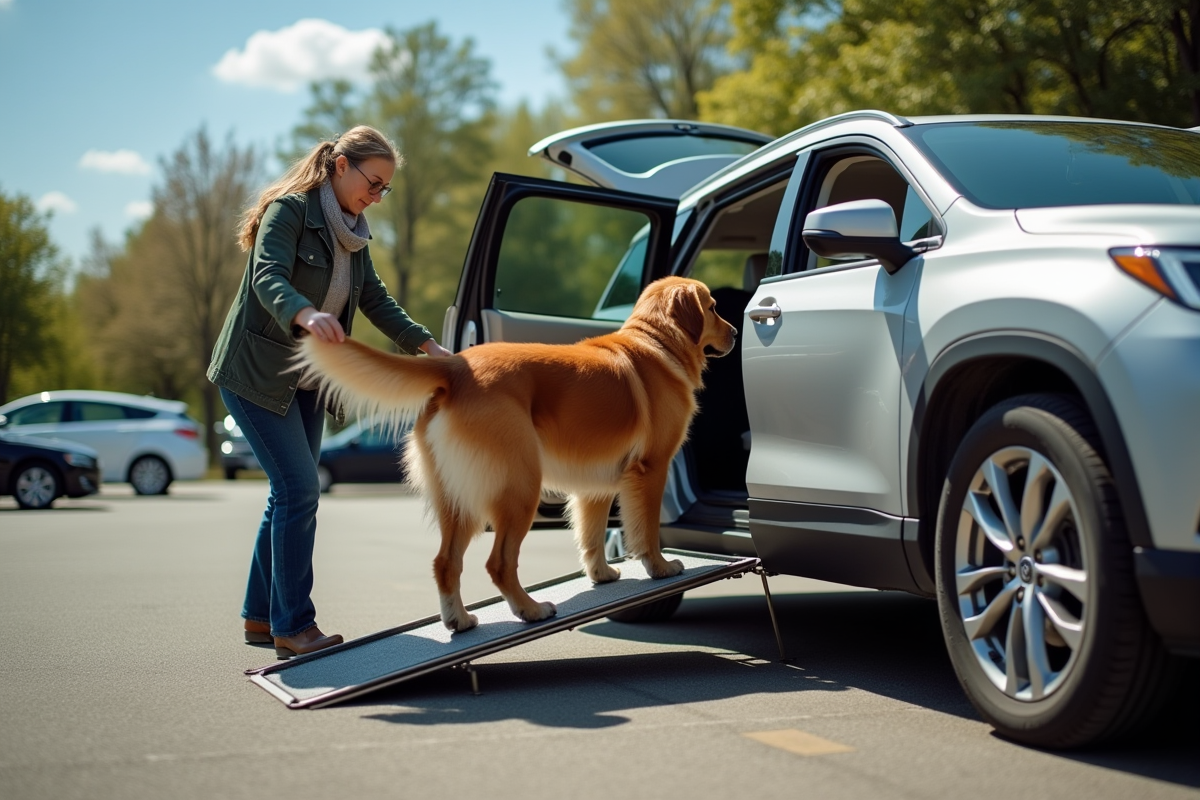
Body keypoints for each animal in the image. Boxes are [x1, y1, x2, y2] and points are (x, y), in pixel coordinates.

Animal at [295, 275, 734, 633]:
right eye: (713, 306)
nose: (733, 332)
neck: (656, 342)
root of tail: (458, 367)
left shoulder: (595, 483)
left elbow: (591, 535)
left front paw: (601, 574)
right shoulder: (652, 468)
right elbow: (647, 530)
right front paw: (659, 568)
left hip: (457, 499)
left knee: (445, 562)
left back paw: (460, 619)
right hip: (520, 487)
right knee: (499, 563)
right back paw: (530, 609)